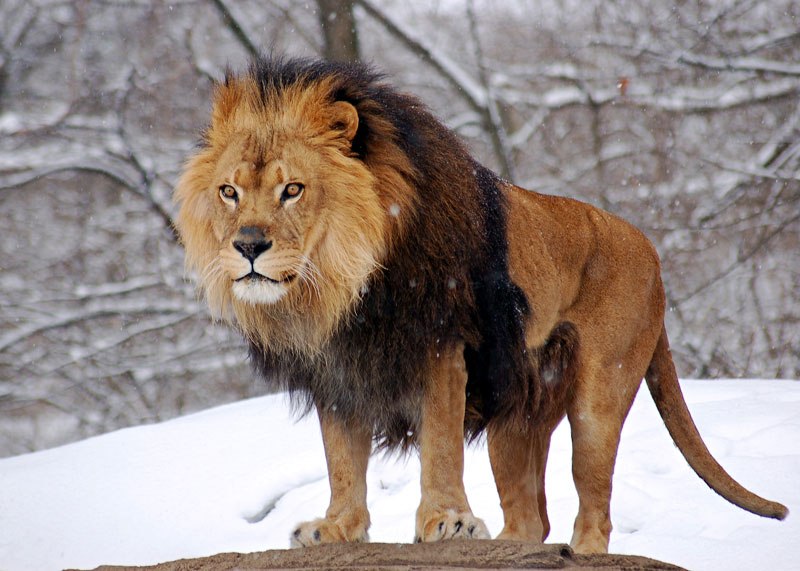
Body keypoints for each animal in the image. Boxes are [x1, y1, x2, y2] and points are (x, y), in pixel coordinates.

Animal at [172, 57, 784, 556]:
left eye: (293, 189)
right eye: (229, 192)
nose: (249, 246)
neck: (342, 287)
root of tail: (652, 252)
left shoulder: (441, 344)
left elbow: (440, 443)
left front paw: (446, 521)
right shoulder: (338, 371)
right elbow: (342, 460)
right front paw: (337, 527)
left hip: (598, 399)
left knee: (594, 506)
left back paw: (578, 550)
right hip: (515, 418)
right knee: (532, 518)